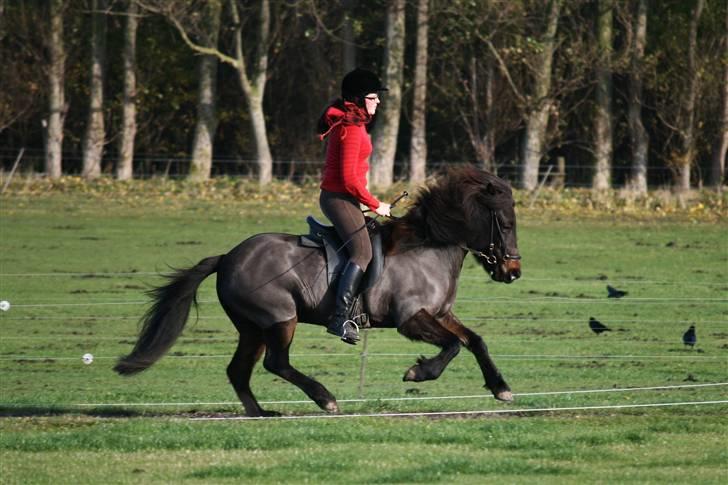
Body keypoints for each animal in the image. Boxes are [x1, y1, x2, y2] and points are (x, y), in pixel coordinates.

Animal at [114, 167, 520, 416]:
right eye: (505, 224)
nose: (513, 272)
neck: (427, 246)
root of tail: (228, 256)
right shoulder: (412, 319)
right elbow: (452, 347)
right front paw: (417, 373)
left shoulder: (440, 315)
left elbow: (474, 341)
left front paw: (501, 388)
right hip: (279, 319)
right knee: (276, 363)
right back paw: (325, 399)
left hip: (252, 328)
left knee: (239, 370)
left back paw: (260, 413)